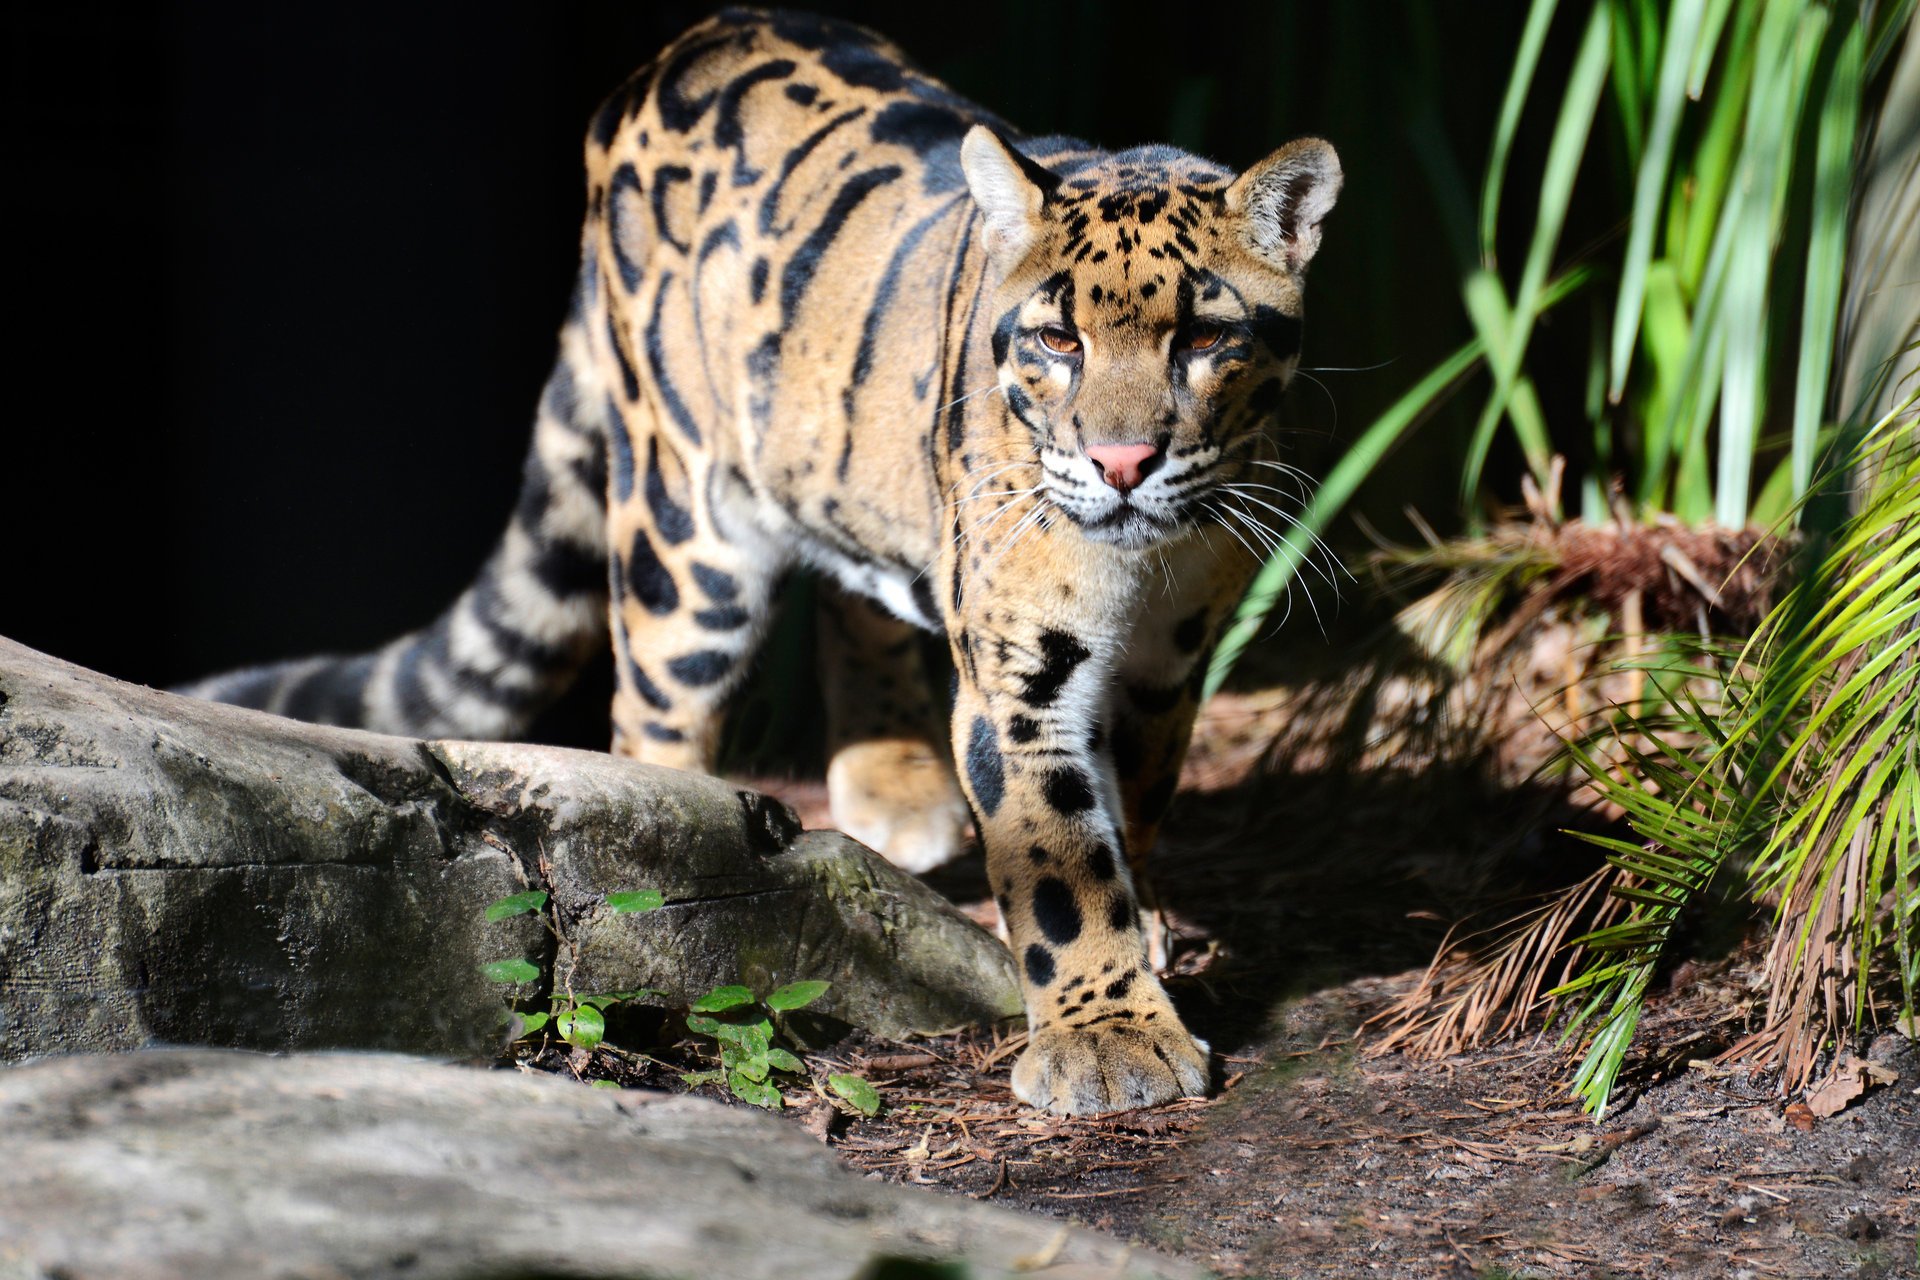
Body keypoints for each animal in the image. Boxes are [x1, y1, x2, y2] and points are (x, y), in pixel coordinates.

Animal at [181, 7, 1341, 1116]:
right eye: (1058, 342)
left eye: (1205, 339)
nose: (1122, 463)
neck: (1145, 569)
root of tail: (675, 52)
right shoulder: (1020, 680)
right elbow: (1060, 862)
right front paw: (1107, 1041)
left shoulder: (1168, 669)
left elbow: (1127, 815)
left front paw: (1140, 951)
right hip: (681, 527)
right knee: (653, 712)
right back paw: (671, 857)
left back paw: (892, 787)